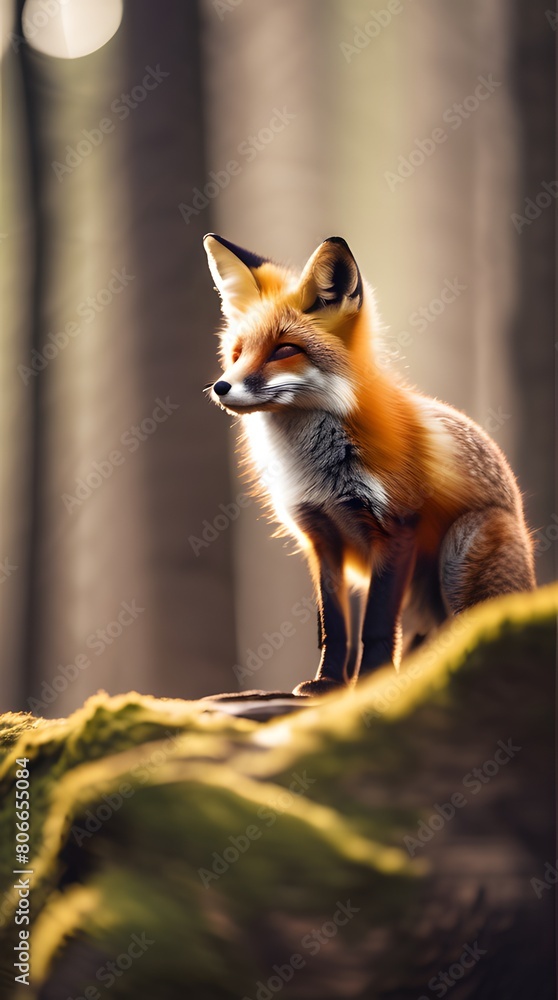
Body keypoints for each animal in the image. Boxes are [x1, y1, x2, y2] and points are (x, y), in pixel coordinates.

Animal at [203, 233, 536, 697]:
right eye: (236, 353)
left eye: (284, 350)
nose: (221, 386)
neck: (317, 472)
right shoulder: (321, 537)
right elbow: (334, 627)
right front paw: (328, 683)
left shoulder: (395, 527)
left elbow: (375, 626)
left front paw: (372, 683)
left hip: (461, 550)